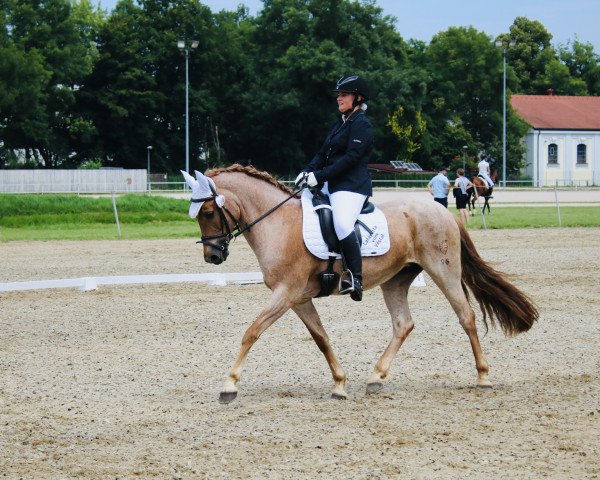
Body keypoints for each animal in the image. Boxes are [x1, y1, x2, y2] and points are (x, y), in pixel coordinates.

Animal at [184, 163, 540, 404]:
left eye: (208, 212)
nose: (212, 256)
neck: (278, 224)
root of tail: (443, 212)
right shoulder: (298, 298)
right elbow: (321, 338)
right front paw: (340, 384)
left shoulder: (286, 293)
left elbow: (252, 332)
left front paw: (229, 385)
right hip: (396, 280)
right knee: (403, 324)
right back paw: (376, 377)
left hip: (444, 270)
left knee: (466, 317)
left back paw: (483, 377)